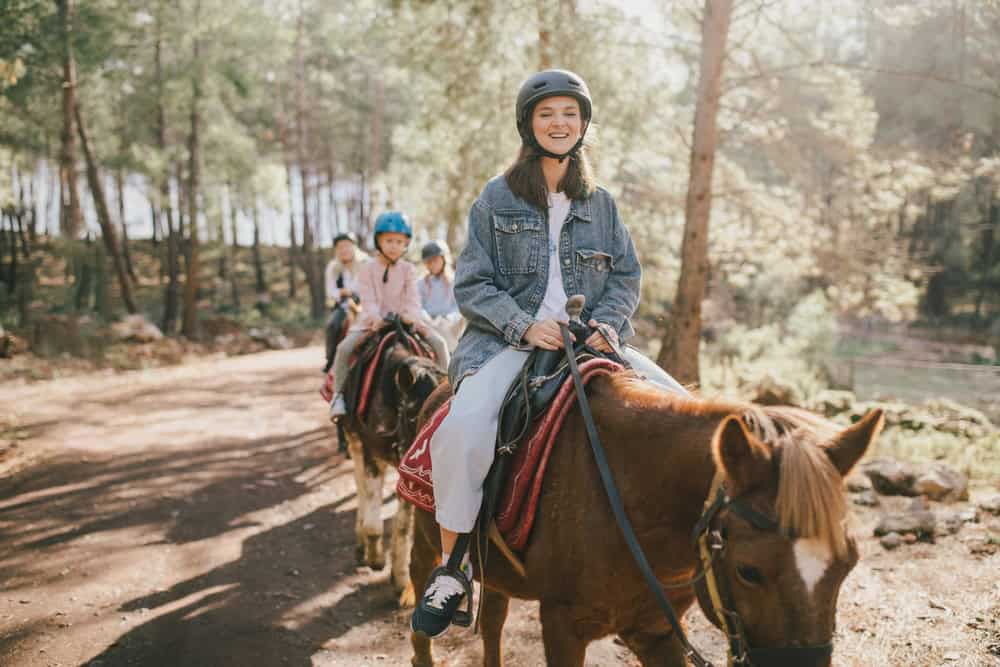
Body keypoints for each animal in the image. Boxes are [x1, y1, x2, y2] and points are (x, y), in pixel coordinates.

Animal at [338, 330, 444, 604]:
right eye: (413, 413)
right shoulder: (370, 453)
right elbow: (374, 520)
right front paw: (375, 557)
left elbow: (404, 526)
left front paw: (401, 581)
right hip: (353, 441)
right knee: (361, 487)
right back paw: (362, 543)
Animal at [406, 374, 884, 664]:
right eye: (748, 571)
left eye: (848, 565)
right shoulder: (561, 626)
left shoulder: (655, 631)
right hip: (426, 537)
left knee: (493, 621)